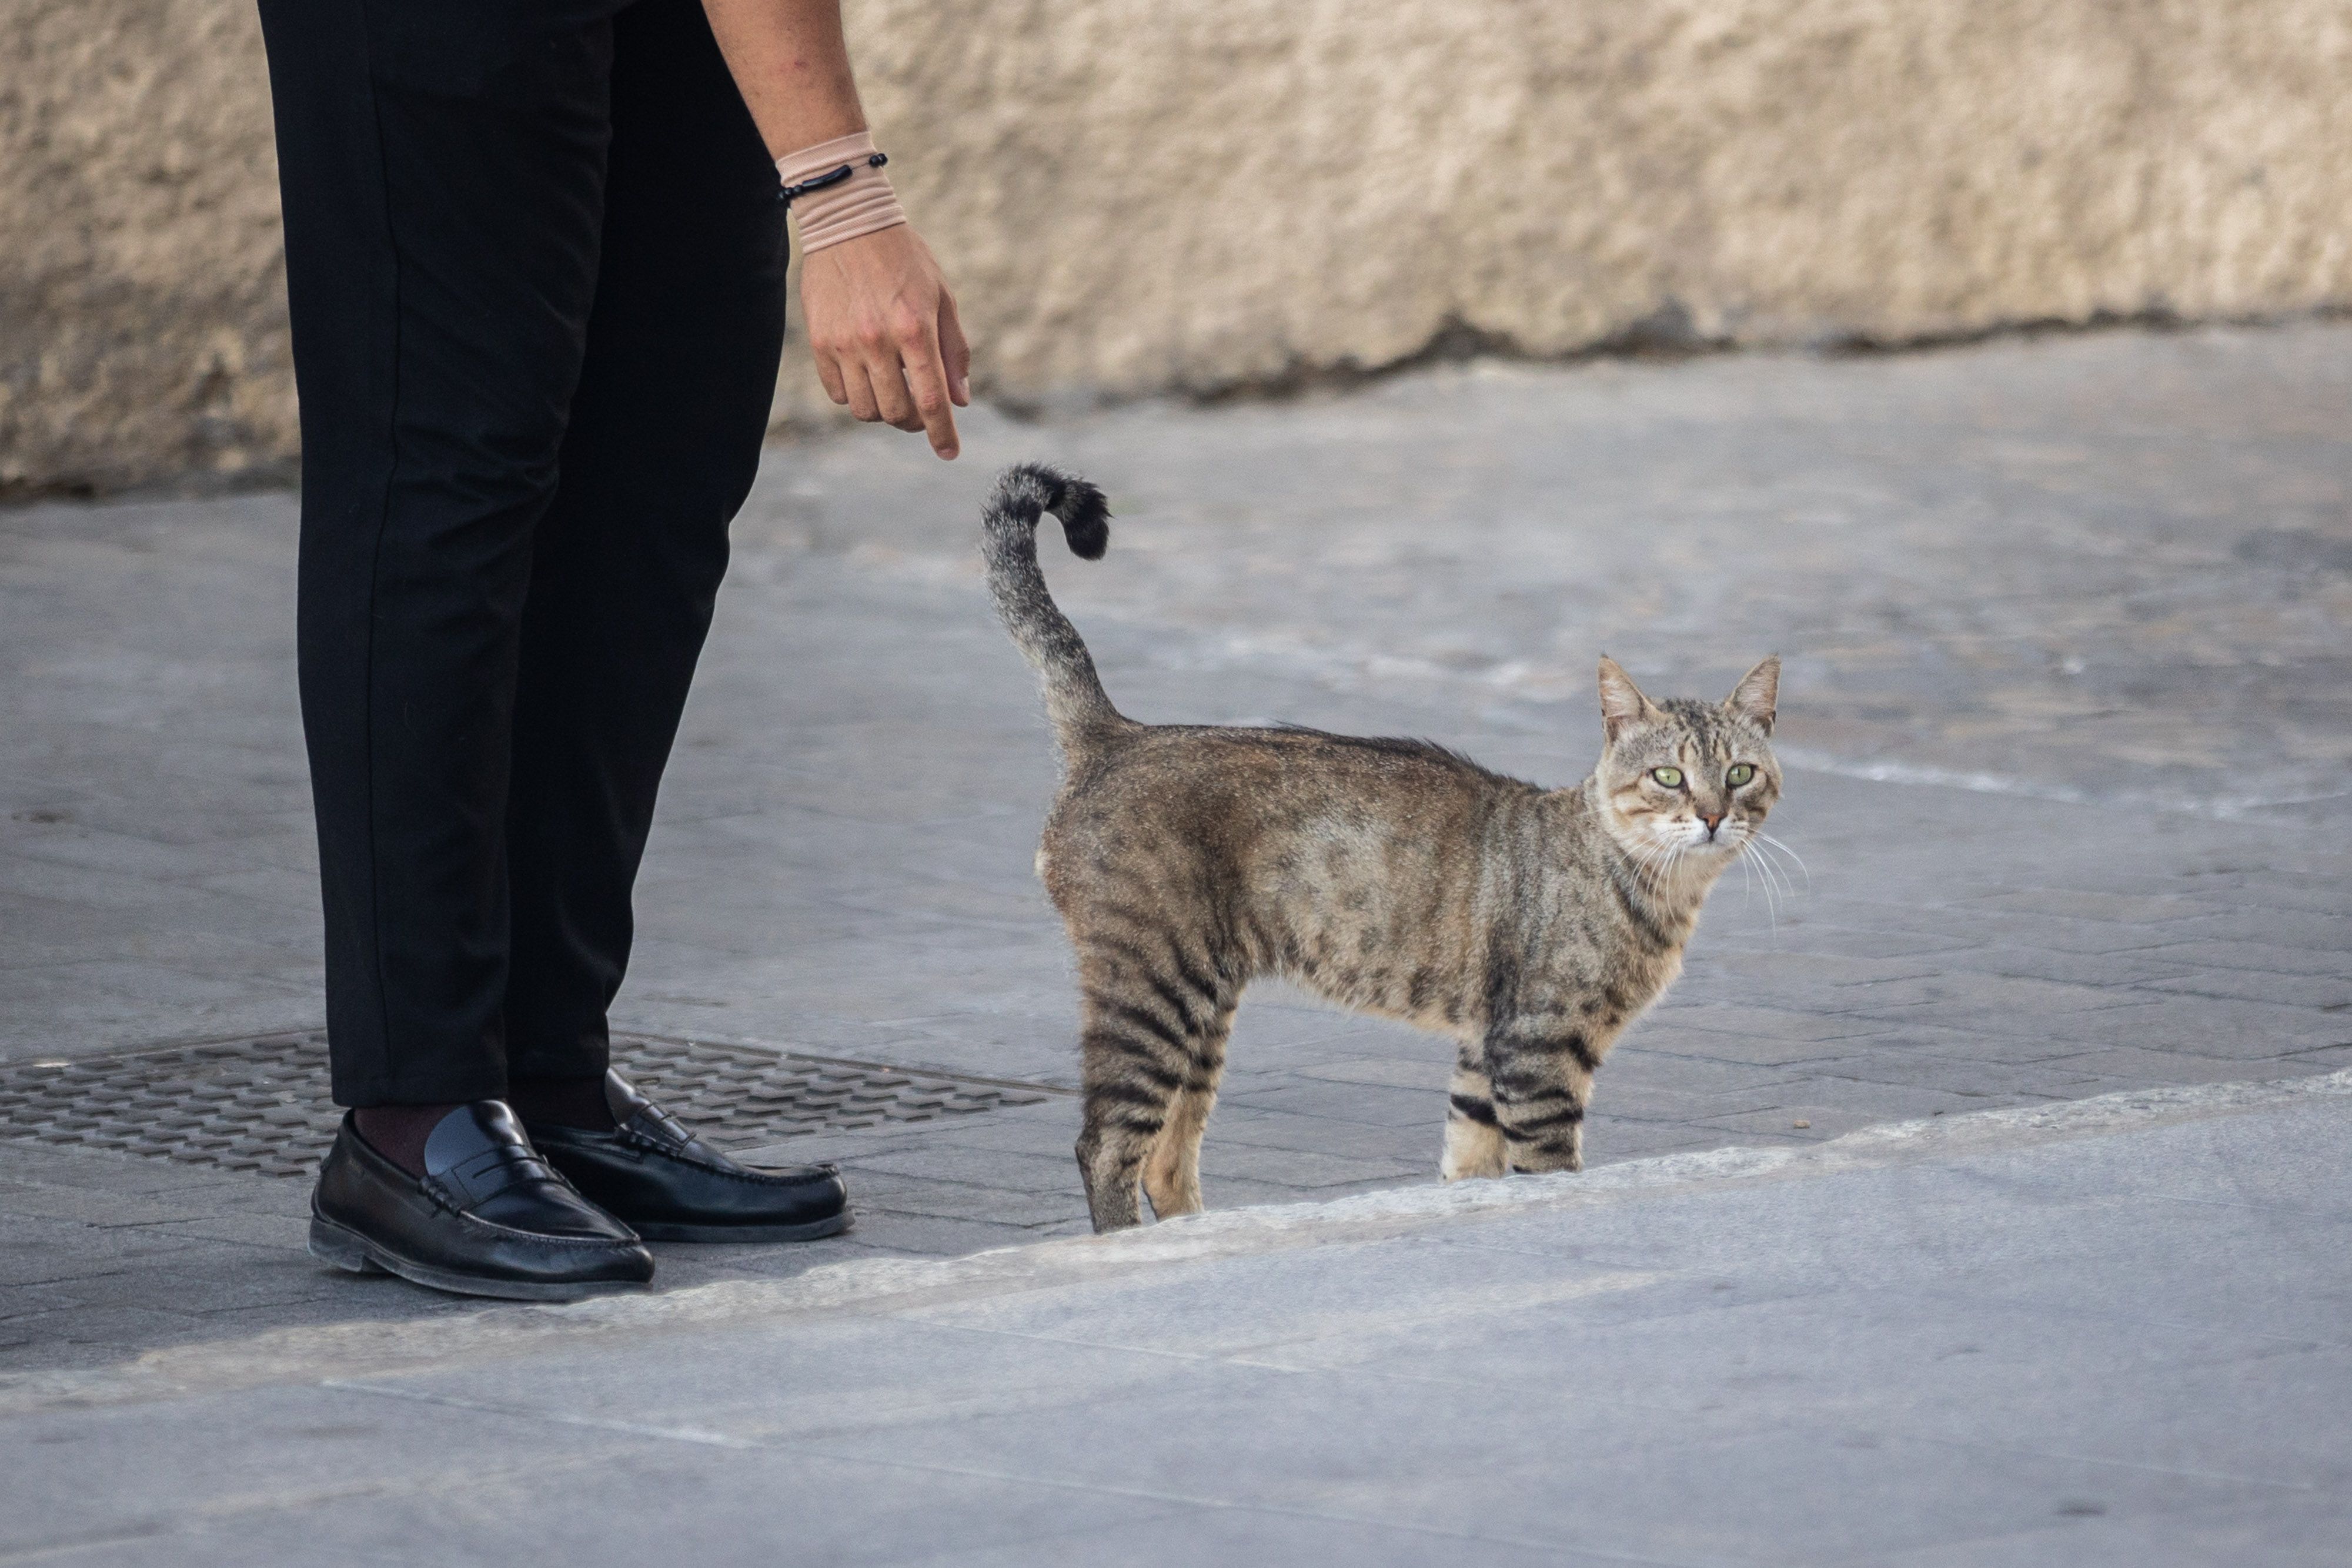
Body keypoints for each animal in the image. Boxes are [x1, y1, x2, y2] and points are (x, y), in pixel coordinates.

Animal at [978, 460, 1778, 1232]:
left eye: (1739, 773)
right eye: (1668, 776)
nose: (1712, 815)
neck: (1657, 889)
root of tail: (1118, 734)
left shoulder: (1481, 1056)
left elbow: (1468, 1168)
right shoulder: (1537, 1053)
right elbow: (1551, 1172)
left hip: (1203, 1006)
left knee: (1167, 1158)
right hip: (1153, 987)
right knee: (1107, 1145)